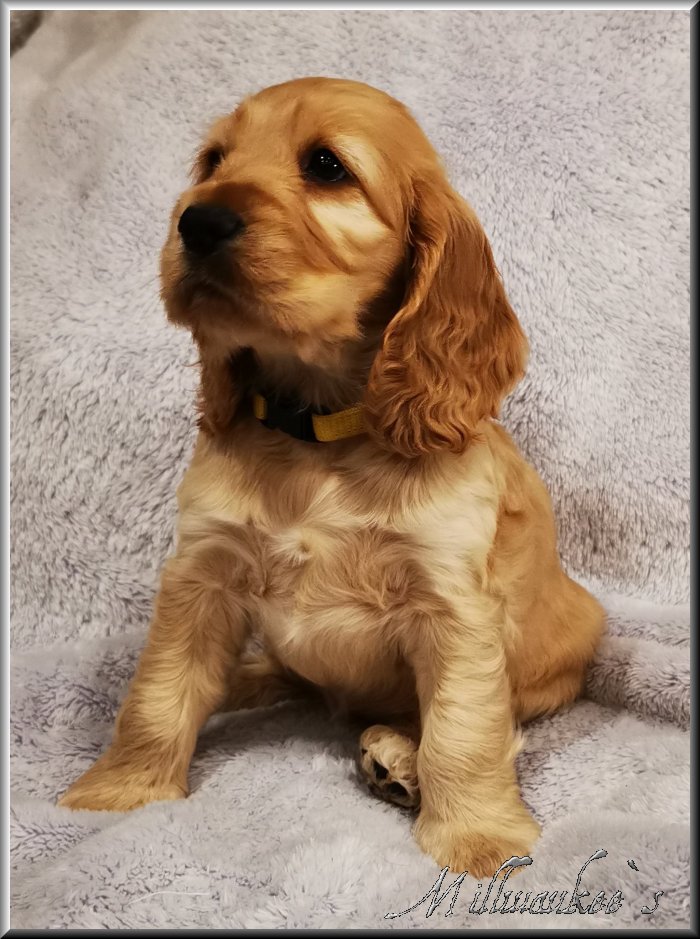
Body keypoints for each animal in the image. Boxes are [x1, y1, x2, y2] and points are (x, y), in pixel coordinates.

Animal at [59, 77, 605, 878]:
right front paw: (121, 791)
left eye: (326, 166)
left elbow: (463, 729)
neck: (317, 435)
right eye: (213, 161)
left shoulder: (453, 604)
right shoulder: (202, 574)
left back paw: (395, 756)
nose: (197, 220)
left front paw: (477, 837)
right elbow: (158, 694)